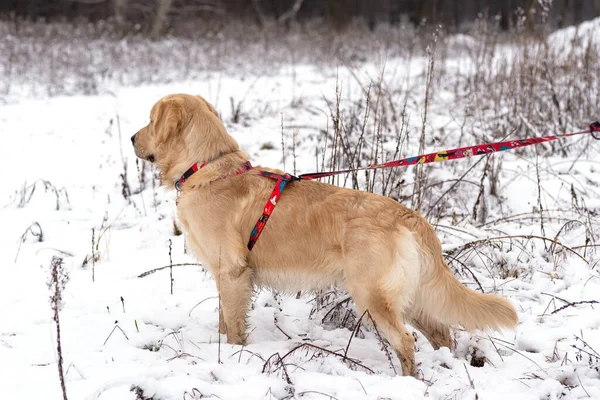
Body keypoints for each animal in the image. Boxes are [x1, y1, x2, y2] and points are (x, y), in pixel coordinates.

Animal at [134, 93, 516, 376]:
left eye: (151, 119)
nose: (132, 138)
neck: (209, 169)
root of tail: (409, 216)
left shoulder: (232, 273)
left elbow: (232, 325)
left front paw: (230, 358)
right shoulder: (226, 276)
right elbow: (223, 320)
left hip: (372, 295)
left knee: (407, 341)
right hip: (410, 295)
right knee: (441, 333)